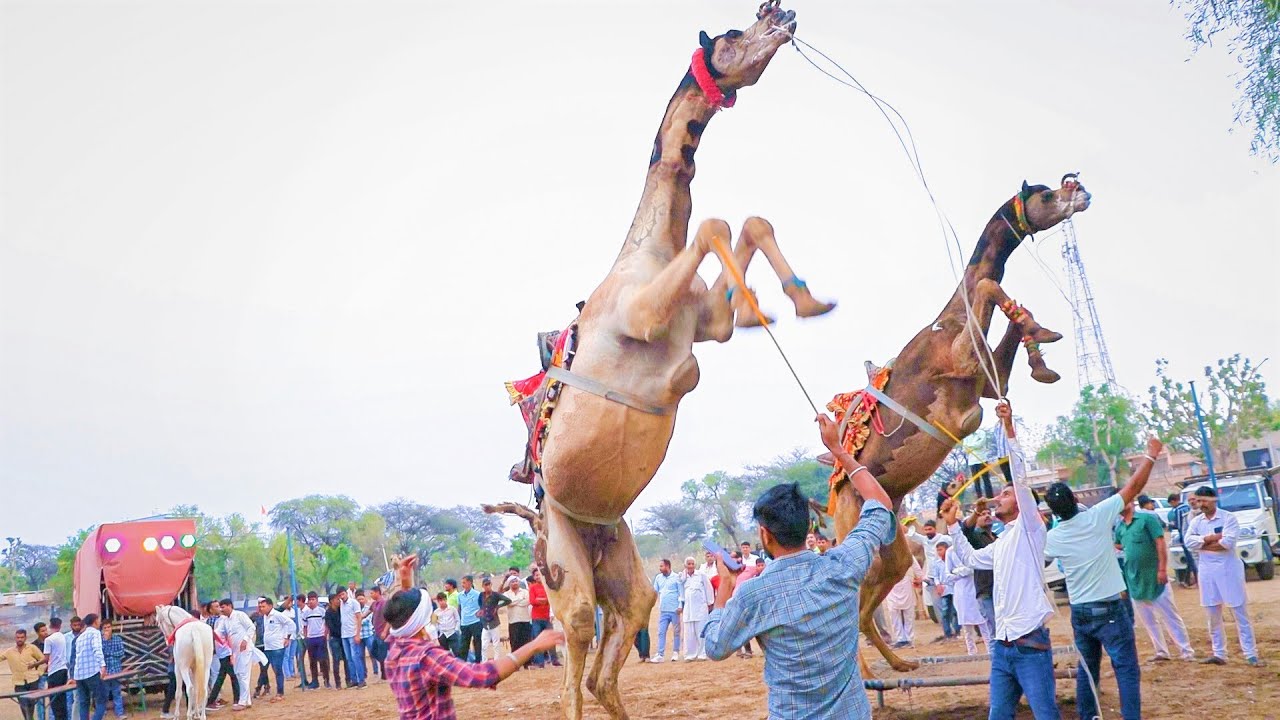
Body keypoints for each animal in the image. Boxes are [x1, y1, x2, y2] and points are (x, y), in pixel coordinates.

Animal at [486, 4, 838, 718]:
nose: (782, 13)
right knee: (574, 654)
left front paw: (803, 302)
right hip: (561, 565)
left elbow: (743, 225)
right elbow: (714, 225)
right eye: (731, 36)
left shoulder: (699, 328)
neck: (647, 253)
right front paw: (772, 308)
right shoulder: (643, 318)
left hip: (617, 559)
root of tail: (542, 525)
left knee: (613, 653)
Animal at [825, 175, 1091, 673]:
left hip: (890, 542)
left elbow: (1006, 333)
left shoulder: (984, 383)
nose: (1081, 192)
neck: (947, 322)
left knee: (871, 601)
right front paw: (1043, 340)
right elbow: (986, 282)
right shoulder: (961, 362)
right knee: (850, 601)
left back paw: (900, 665)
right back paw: (868, 673)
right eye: (1047, 194)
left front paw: (1043, 352)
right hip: (853, 530)